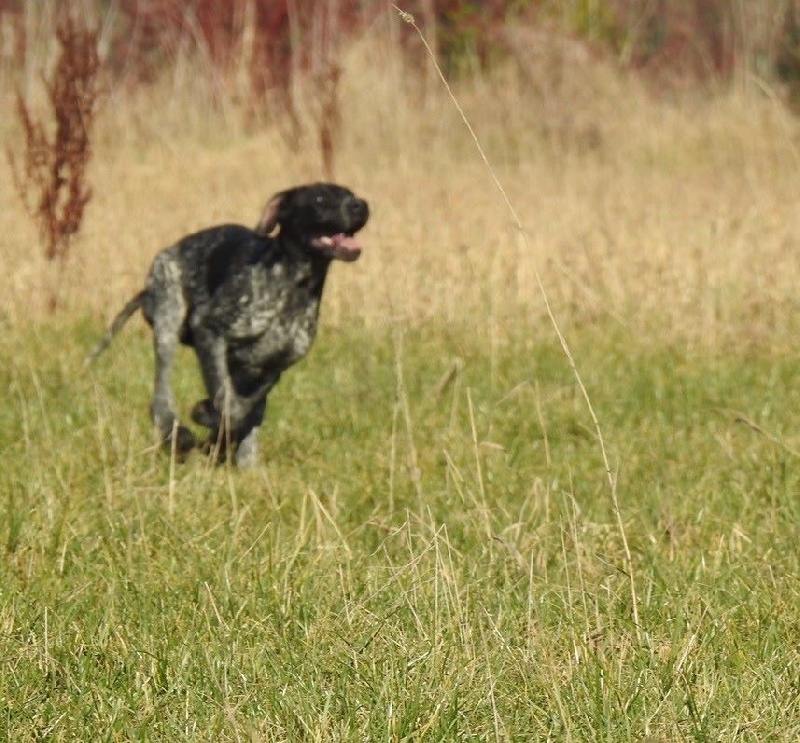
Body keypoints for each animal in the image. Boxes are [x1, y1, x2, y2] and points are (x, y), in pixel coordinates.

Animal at [88, 183, 372, 468]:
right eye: (320, 198)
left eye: (350, 194)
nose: (361, 205)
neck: (295, 286)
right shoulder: (208, 330)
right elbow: (230, 407)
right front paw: (207, 420)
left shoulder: (271, 368)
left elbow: (247, 411)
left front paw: (229, 449)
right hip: (168, 316)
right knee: (161, 397)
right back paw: (176, 433)